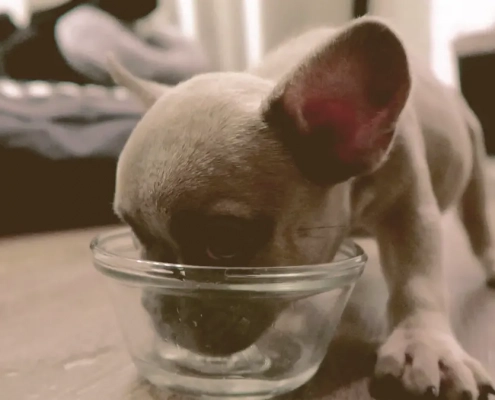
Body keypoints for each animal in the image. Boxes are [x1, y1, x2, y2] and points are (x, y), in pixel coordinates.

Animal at [106, 16, 494, 400]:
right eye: (134, 231)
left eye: (224, 242)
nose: (160, 306)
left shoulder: (409, 207)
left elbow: (417, 276)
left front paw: (425, 344)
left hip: (473, 147)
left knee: (476, 212)